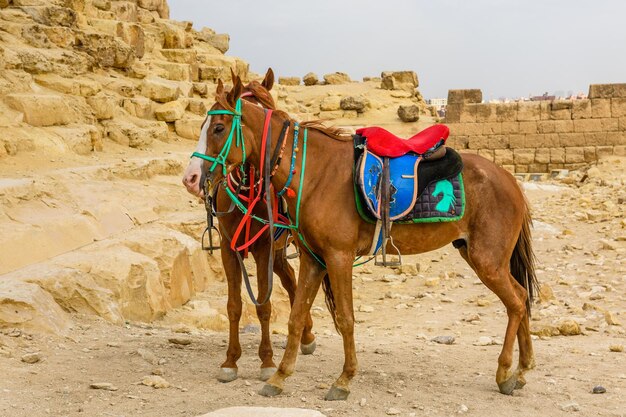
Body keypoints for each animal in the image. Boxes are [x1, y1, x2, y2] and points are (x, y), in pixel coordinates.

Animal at [183, 69, 314, 384]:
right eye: (206, 127)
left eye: (271, 108)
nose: (191, 178)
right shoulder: (229, 249)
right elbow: (234, 305)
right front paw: (230, 361)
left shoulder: (264, 248)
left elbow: (264, 306)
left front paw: (267, 360)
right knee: (291, 280)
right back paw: (305, 336)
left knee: (295, 283)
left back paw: (306, 336)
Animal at [196, 75, 536, 400]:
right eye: (203, 126)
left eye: (218, 128)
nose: (194, 177)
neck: (314, 173)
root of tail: (510, 179)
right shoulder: (313, 259)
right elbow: (296, 316)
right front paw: (279, 377)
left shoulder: (338, 257)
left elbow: (345, 318)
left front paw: (343, 380)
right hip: (479, 255)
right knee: (521, 296)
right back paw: (521, 371)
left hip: (487, 260)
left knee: (516, 301)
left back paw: (505, 372)